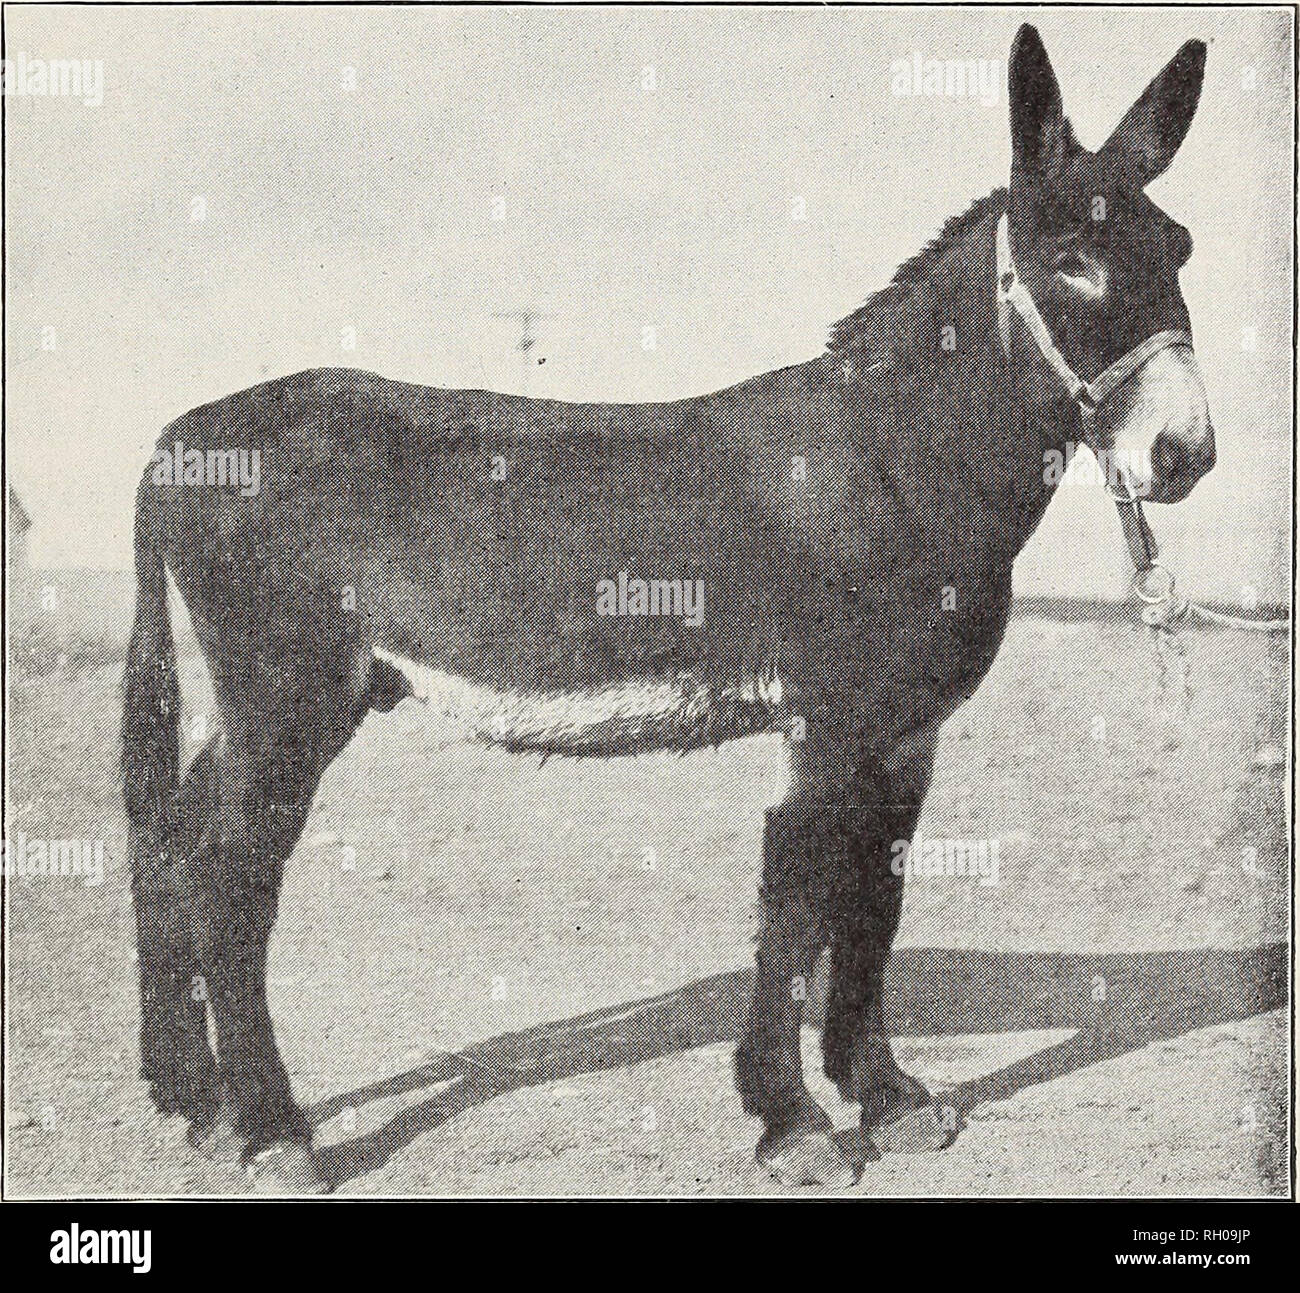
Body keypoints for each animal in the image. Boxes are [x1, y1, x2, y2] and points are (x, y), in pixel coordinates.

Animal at [122, 25, 1215, 1192]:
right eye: (1070, 264)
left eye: (1181, 249)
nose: (1185, 455)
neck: (892, 457)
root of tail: (181, 433)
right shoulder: (829, 727)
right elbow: (797, 906)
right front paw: (794, 1124)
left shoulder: (906, 736)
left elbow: (874, 907)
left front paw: (887, 1098)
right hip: (289, 699)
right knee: (230, 877)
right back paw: (273, 1131)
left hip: (280, 702)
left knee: (172, 840)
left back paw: (196, 1103)